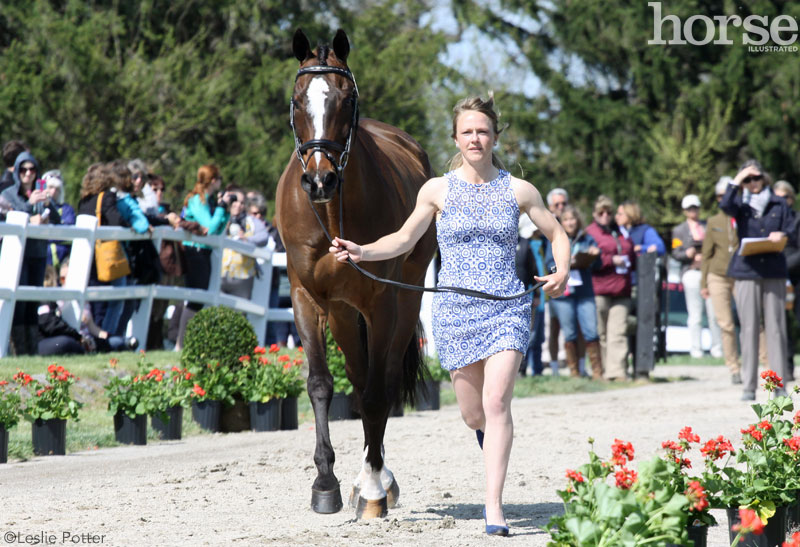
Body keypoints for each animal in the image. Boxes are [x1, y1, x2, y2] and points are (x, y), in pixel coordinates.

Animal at [276, 30, 438, 520]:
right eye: (297, 99)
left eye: (346, 99)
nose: (319, 180)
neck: (331, 214)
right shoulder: (307, 297)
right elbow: (321, 384)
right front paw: (325, 483)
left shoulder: (382, 303)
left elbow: (376, 391)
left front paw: (370, 487)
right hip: (345, 313)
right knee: (359, 372)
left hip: (402, 300)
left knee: (381, 379)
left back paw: (379, 478)